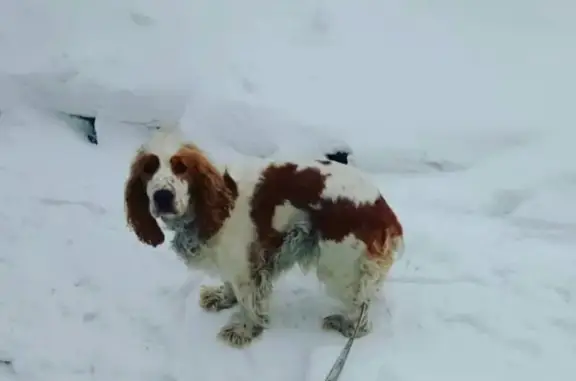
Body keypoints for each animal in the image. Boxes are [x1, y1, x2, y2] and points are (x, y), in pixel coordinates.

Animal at [124, 131, 402, 348]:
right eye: (148, 169)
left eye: (181, 167)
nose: (162, 196)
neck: (215, 204)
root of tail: (383, 208)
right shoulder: (235, 263)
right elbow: (229, 286)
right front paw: (222, 298)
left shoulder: (247, 268)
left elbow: (248, 303)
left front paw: (243, 330)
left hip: (338, 266)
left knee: (361, 313)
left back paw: (346, 325)